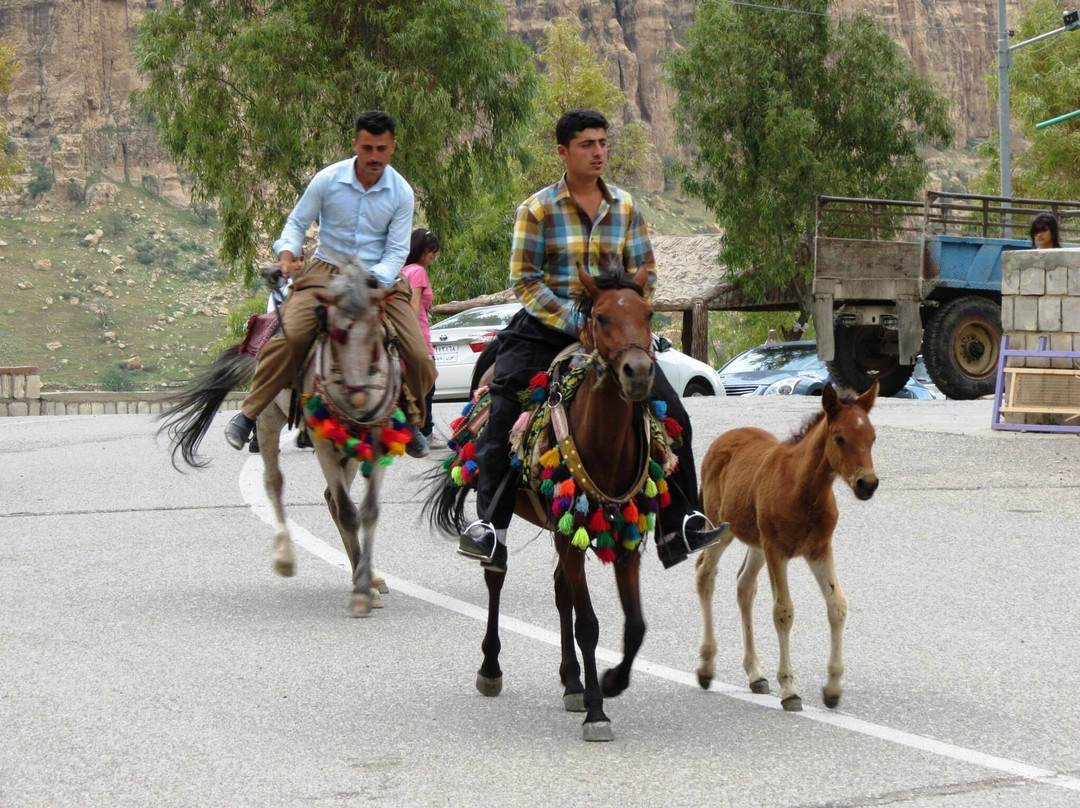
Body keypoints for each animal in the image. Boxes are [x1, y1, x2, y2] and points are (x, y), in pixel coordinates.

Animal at [427, 267, 656, 743]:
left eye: (647, 313)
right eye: (602, 317)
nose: (639, 373)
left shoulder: (620, 536)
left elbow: (635, 625)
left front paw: (610, 681)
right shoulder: (571, 536)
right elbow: (589, 625)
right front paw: (597, 711)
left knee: (560, 591)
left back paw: (572, 681)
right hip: (511, 519)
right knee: (497, 574)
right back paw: (491, 669)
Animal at [691, 382, 876, 708]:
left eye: (873, 438)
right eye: (839, 438)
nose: (868, 484)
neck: (804, 490)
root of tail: (721, 440)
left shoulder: (819, 549)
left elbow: (837, 605)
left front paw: (832, 689)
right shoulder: (777, 550)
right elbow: (783, 611)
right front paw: (789, 688)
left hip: (756, 541)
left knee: (744, 585)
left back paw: (756, 674)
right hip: (721, 529)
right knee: (705, 573)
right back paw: (706, 667)